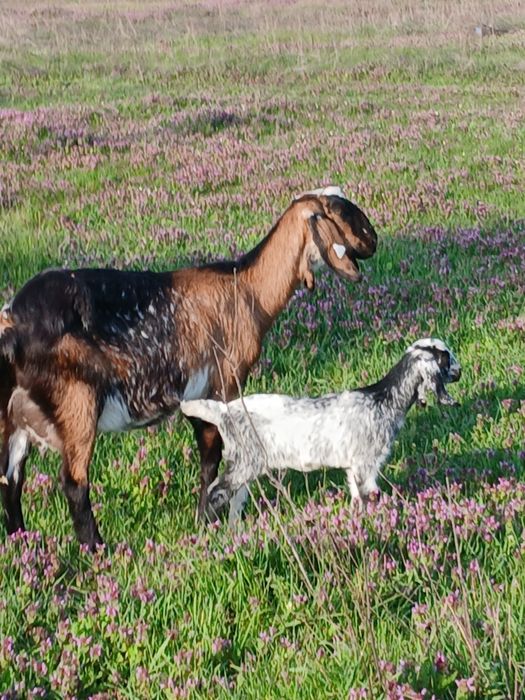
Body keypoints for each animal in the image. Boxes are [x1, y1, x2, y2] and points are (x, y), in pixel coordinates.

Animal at [0, 186, 377, 549]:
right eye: (340, 210)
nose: (373, 241)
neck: (247, 288)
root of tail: (12, 325)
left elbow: (208, 451)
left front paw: (205, 518)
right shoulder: (224, 382)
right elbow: (215, 454)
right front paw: (211, 519)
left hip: (13, 416)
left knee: (10, 478)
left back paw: (21, 541)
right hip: (76, 402)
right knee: (73, 482)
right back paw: (98, 551)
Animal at [181, 339, 461, 525]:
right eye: (446, 357)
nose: (460, 372)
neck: (382, 399)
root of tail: (224, 411)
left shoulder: (353, 468)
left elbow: (357, 499)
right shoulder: (366, 465)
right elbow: (369, 497)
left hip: (245, 465)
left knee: (234, 500)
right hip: (244, 464)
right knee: (215, 491)